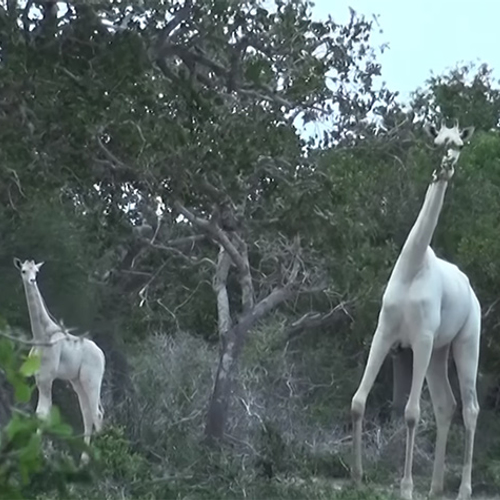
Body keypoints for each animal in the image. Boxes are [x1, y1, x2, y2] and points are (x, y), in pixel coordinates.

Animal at [13, 260, 105, 462]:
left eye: (36, 271)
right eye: (23, 271)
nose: (31, 280)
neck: (41, 335)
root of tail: (102, 355)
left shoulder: (47, 376)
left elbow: (43, 413)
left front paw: (37, 450)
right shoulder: (38, 376)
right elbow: (39, 412)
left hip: (92, 379)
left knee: (97, 413)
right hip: (77, 381)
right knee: (87, 414)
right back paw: (84, 460)